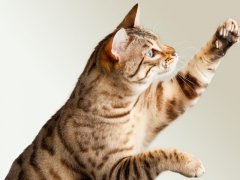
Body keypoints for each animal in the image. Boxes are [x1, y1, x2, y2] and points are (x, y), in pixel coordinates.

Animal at [5, 3, 240, 180]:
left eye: (159, 40)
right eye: (151, 52)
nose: (173, 51)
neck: (130, 105)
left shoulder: (166, 99)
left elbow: (199, 69)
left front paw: (225, 36)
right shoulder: (115, 170)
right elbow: (155, 154)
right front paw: (190, 162)